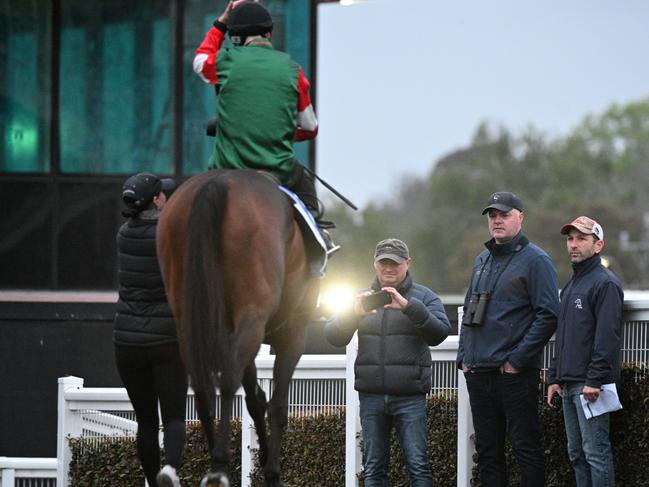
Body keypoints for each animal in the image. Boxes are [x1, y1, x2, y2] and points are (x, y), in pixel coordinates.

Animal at [157, 170, 318, 486]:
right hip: (253, 315)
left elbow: (256, 400)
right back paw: (219, 465)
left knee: (202, 385)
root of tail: (217, 183)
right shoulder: (293, 332)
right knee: (228, 379)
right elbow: (277, 405)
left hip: (188, 319)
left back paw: (213, 460)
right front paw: (273, 472)